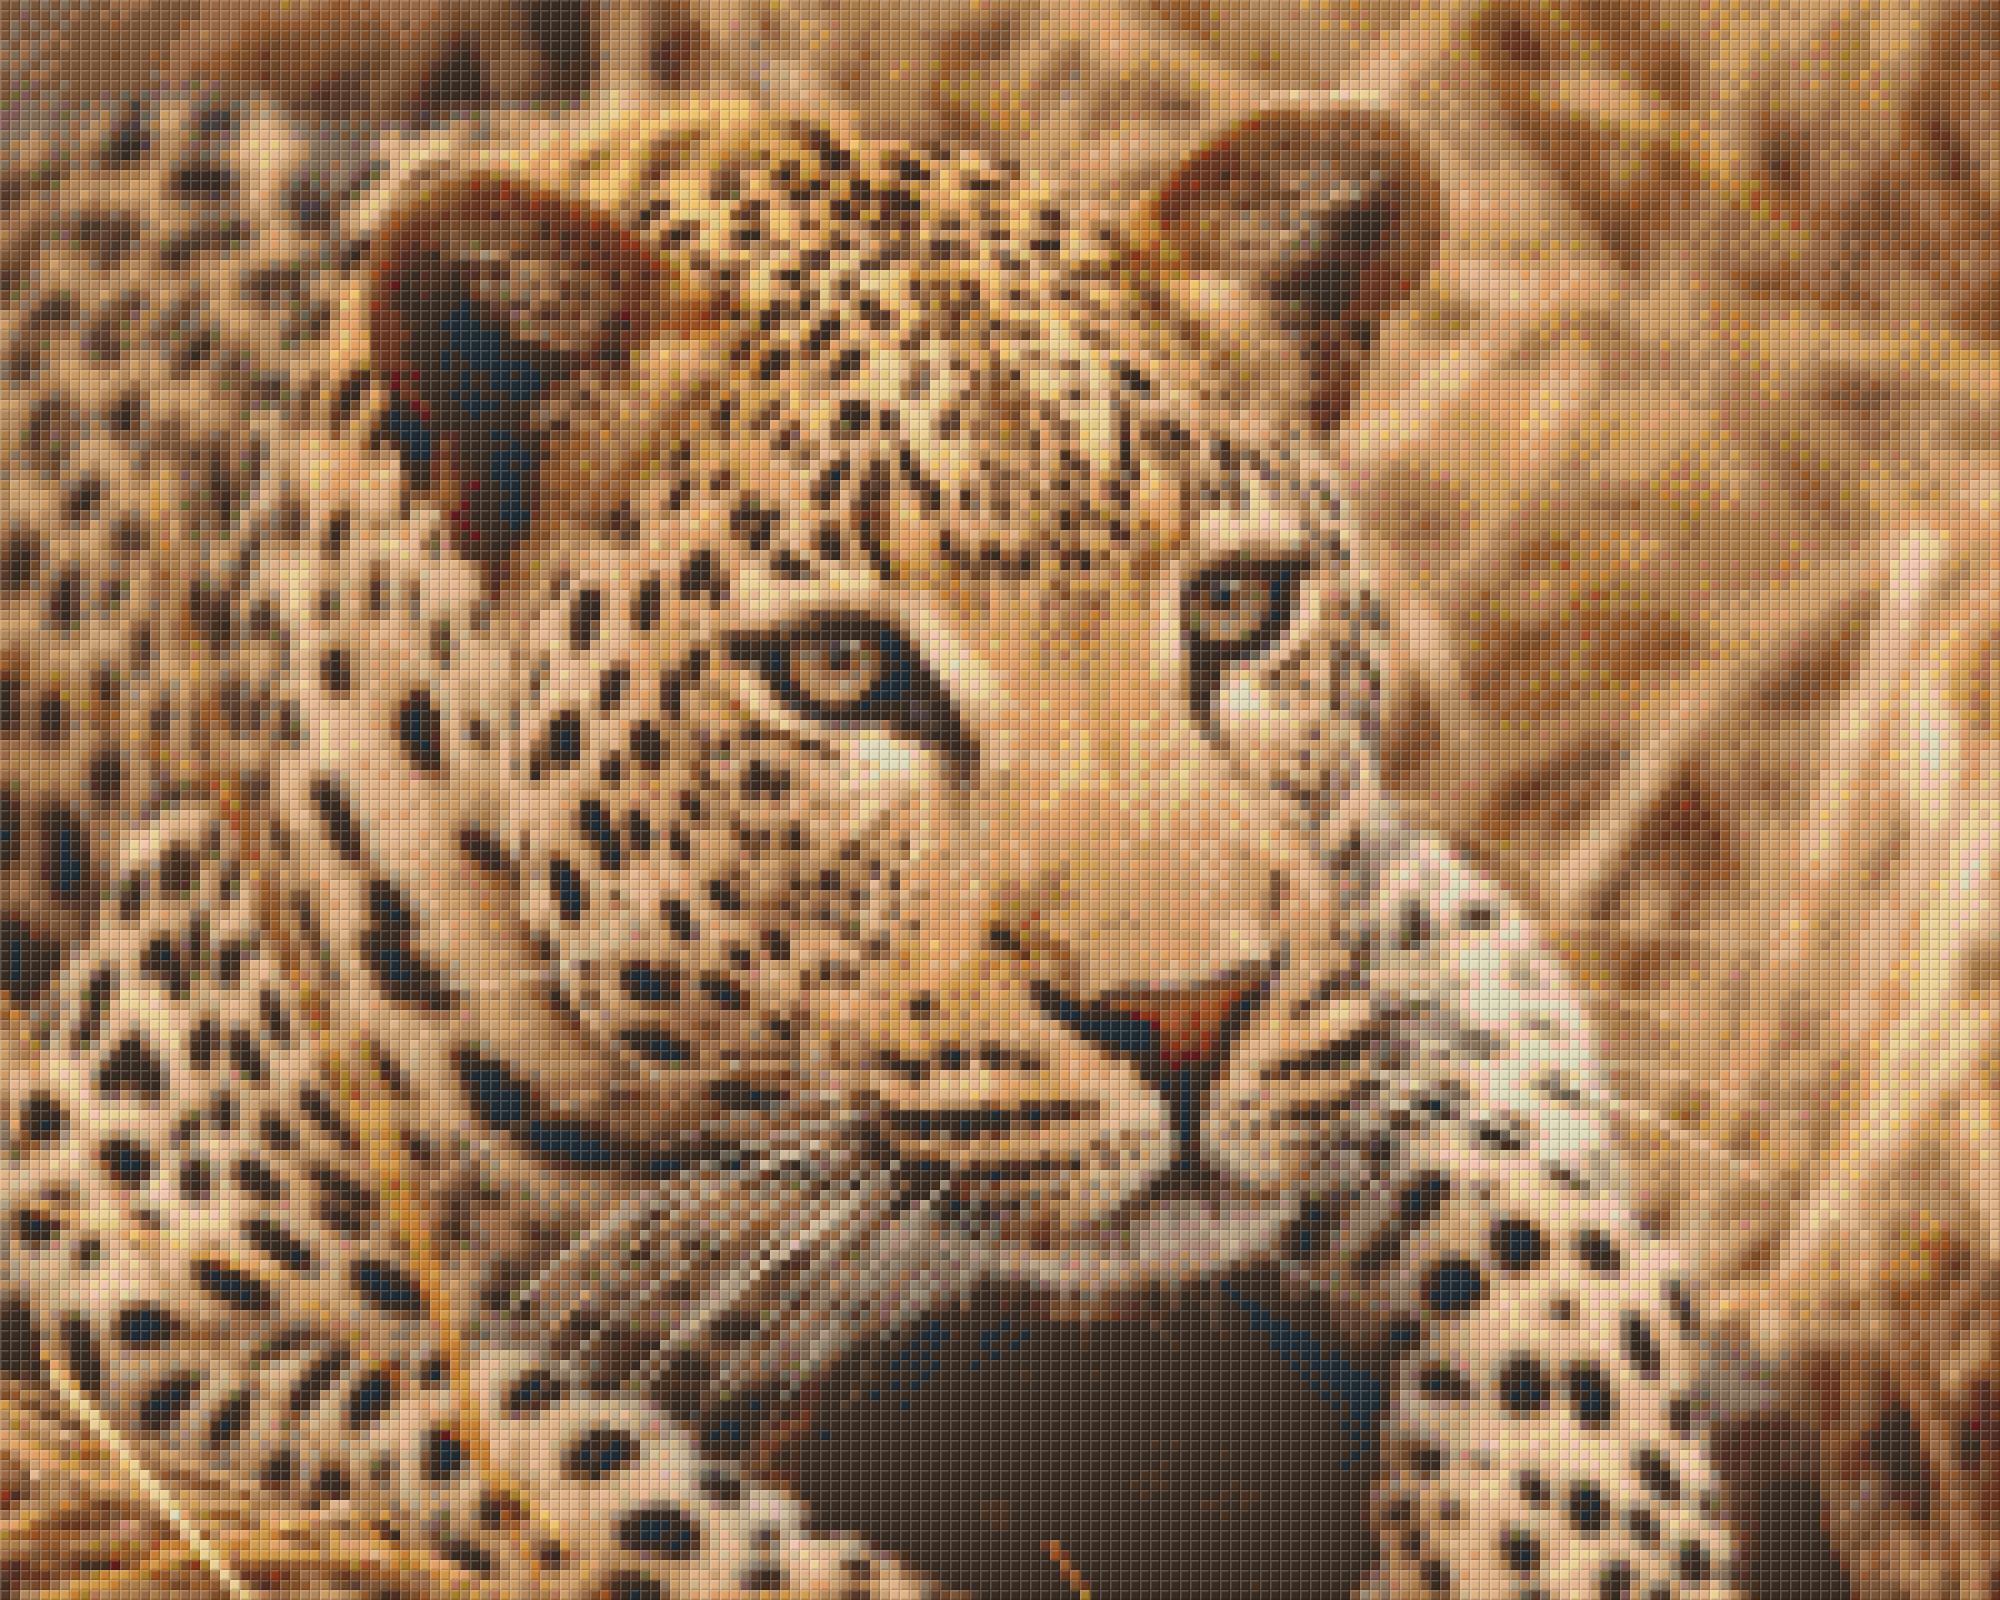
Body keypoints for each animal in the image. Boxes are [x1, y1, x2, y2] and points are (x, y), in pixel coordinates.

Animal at [0, 77, 1739, 1599]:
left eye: (1237, 608)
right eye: (841, 669)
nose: (1183, 1020)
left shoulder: (1394, 924)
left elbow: (1555, 1231)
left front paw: (1569, 1556)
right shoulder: (118, 1239)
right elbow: (577, 1477)